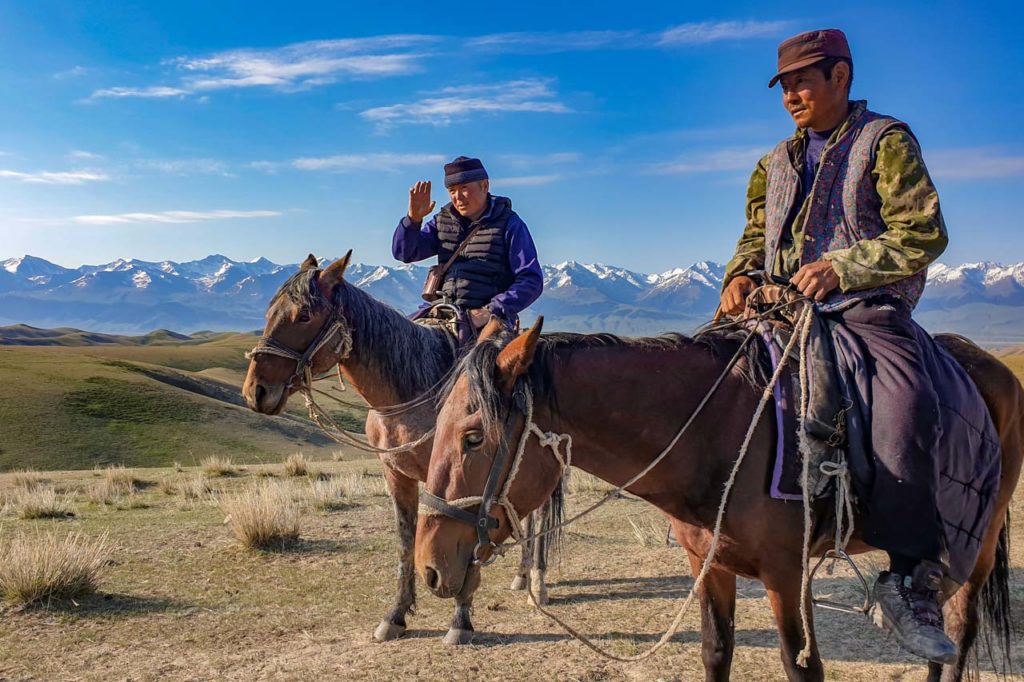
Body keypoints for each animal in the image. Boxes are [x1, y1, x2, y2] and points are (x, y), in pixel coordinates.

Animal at [240, 253, 561, 643]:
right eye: (270, 311)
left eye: (303, 316)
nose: (255, 391)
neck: (410, 392)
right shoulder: (398, 475)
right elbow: (407, 543)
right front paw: (396, 614)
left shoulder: (465, 478)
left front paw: (461, 619)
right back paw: (521, 574)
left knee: (540, 513)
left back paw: (538, 581)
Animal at [411, 319, 1019, 679]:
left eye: (473, 437)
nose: (429, 567)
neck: (717, 434)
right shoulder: (708, 564)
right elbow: (716, 651)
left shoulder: (786, 575)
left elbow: (801, 665)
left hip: (976, 546)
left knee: (958, 634)